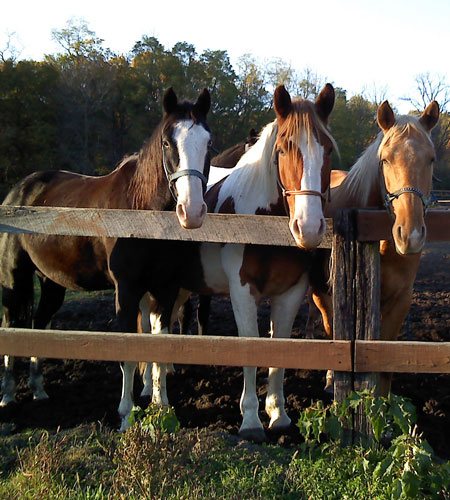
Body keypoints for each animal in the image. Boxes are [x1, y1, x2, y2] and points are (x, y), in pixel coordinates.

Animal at [0, 87, 212, 430]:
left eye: (209, 143)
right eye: (168, 142)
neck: (141, 210)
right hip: (14, 278)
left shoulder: (164, 290)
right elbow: (127, 350)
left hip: (52, 284)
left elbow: (160, 345)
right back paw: (7, 395)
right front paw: (125, 415)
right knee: (11, 325)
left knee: (38, 323)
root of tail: (20, 190)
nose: (191, 211)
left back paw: (38, 389)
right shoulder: (125, 290)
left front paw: (162, 407)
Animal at [142, 83, 338, 442]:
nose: (309, 227)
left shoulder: (290, 293)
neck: (261, 223)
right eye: (284, 149)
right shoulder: (242, 291)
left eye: (327, 149)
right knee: (151, 326)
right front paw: (250, 421)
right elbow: (250, 346)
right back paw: (154, 393)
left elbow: (278, 350)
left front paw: (279, 415)